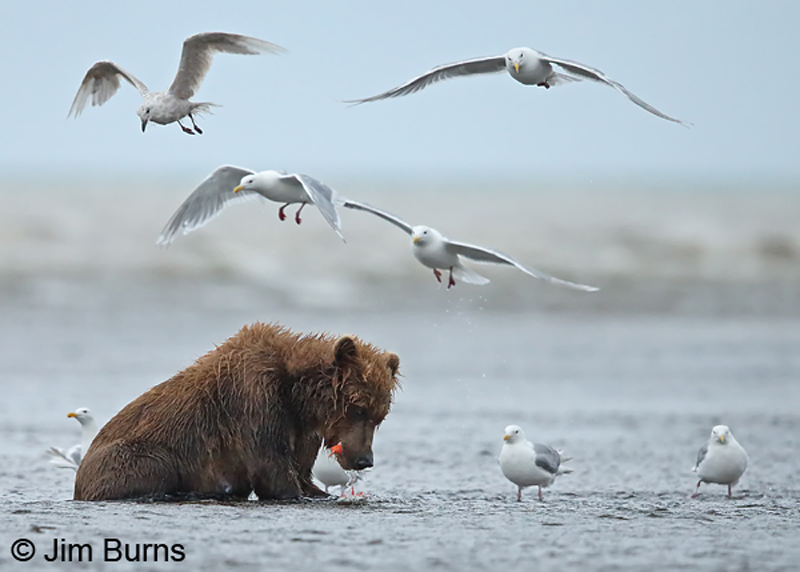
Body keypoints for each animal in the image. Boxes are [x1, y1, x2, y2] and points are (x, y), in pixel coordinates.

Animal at [73, 322, 400, 501]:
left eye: (379, 416)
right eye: (358, 409)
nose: (364, 460)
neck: (297, 394)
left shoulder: (301, 426)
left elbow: (301, 470)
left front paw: (317, 491)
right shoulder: (254, 402)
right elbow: (272, 471)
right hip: (133, 454)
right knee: (155, 466)